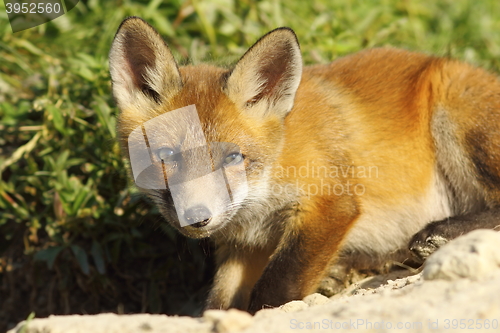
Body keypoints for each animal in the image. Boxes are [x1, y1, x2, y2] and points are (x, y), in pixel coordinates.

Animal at [109, 16, 500, 312]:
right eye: (165, 156)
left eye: (233, 157)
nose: (197, 215)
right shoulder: (244, 246)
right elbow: (218, 302)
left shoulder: (331, 204)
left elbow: (275, 290)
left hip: (458, 114)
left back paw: (439, 234)